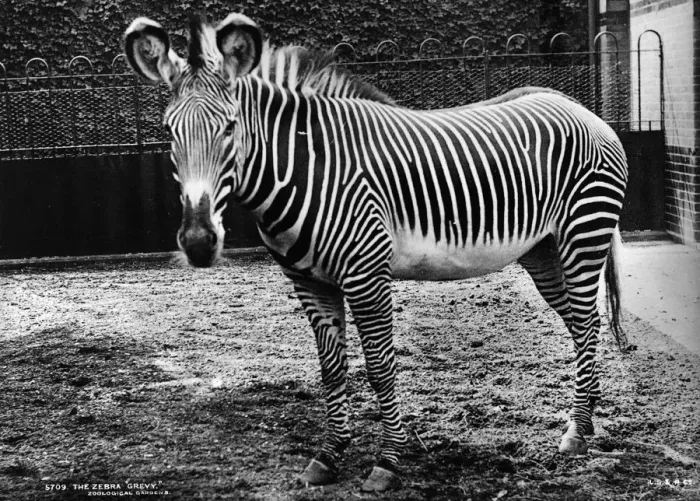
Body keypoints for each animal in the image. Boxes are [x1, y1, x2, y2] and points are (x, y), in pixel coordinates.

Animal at [124, 13, 629, 492]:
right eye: (169, 132)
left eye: (230, 129)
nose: (198, 242)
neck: (306, 167)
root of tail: (575, 104)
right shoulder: (309, 281)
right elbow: (331, 370)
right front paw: (327, 457)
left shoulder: (367, 274)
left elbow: (380, 367)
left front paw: (387, 463)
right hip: (543, 250)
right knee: (582, 323)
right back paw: (586, 420)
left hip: (584, 233)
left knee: (587, 324)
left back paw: (577, 433)